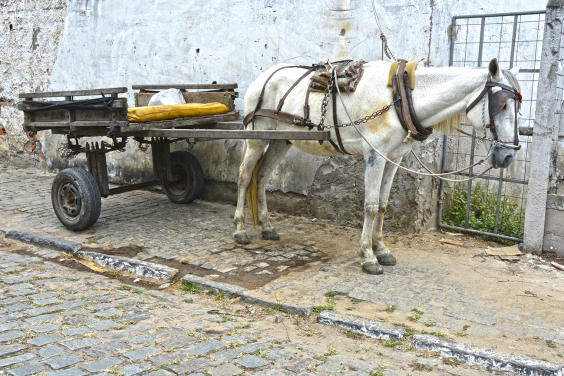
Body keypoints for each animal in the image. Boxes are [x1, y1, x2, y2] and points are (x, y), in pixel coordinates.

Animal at [232, 59, 520, 276]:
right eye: (502, 105)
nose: (508, 156)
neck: (400, 98)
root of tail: (262, 78)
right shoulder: (375, 156)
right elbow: (370, 206)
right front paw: (368, 257)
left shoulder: (395, 158)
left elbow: (382, 205)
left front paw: (382, 250)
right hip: (256, 137)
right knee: (245, 177)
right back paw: (240, 231)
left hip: (282, 140)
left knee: (262, 176)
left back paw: (267, 227)